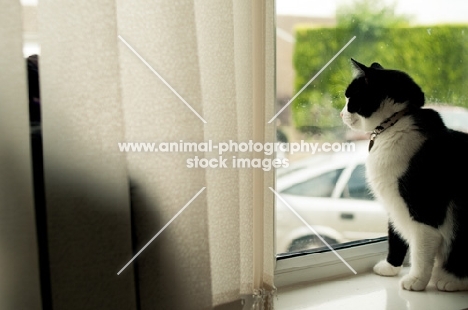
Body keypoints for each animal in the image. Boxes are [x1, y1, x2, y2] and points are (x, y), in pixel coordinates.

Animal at [340, 58, 468, 290]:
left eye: (350, 98)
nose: (340, 113)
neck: (393, 124)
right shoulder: (393, 204)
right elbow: (395, 237)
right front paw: (390, 268)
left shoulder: (424, 209)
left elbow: (420, 250)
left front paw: (416, 280)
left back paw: (450, 280)